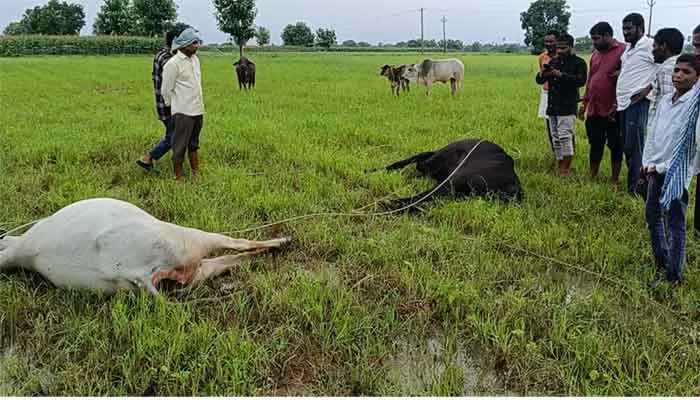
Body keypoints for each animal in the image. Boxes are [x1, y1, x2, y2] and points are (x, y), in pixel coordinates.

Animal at [0, 198, 290, 296]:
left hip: (190, 268)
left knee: (233, 257)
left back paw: (276, 247)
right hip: (187, 240)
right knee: (236, 245)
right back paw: (282, 242)